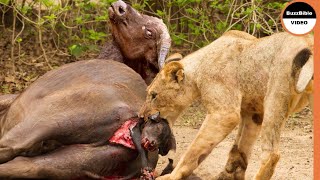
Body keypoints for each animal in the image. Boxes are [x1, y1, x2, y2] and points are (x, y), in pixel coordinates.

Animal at [139, 30, 312, 179]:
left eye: (154, 95)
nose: (141, 116)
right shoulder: (253, 112)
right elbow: (240, 148)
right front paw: (228, 175)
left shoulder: (224, 113)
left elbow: (194, 150)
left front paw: (171, 176)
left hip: (276, 95)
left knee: (271, 154)